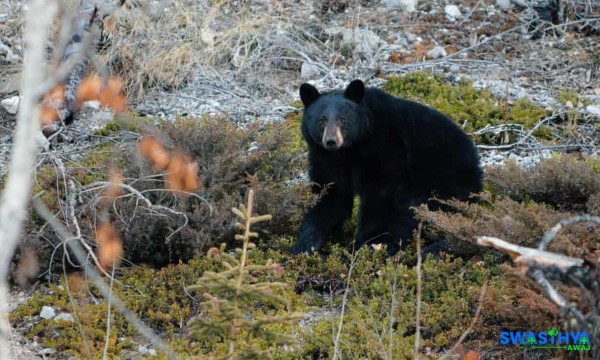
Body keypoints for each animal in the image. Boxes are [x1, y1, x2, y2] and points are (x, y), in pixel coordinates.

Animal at [290, 79, 482, 253]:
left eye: (343, 119)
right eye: (321, 120)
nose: (331, 141)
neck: (350, 150)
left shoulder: (385, 150)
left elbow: (378, 197)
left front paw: (363, 245)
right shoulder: (326, 159)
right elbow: (329, 196)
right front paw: (304, 244)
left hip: (442, 182)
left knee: (412, 213)